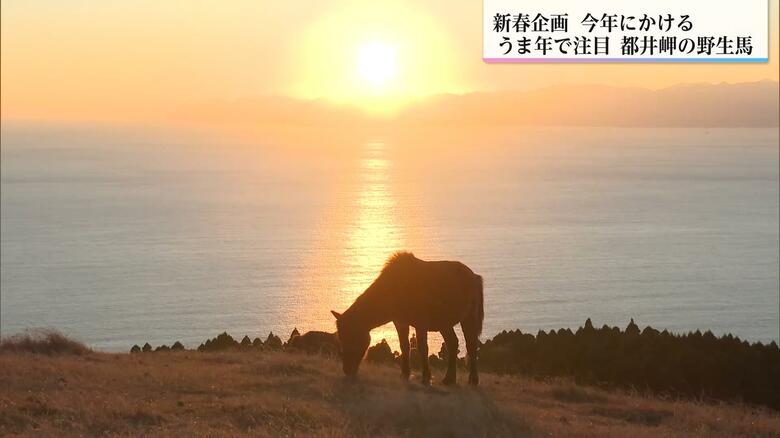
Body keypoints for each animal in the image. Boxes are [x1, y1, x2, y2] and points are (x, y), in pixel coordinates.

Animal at [331, 252, 484, 385]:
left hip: (469, 318)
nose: (347, 370)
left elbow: (423, 348)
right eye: (341, 338)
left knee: (471, 345)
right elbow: (404, 346)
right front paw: (405, 374)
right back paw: (449, 379)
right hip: (444, 323)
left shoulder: (421, 324)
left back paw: (473, 380)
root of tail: (474, 276)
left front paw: (426, 378)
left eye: (352, 337)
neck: (396, 288)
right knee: (452, 343)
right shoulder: (400, 322)